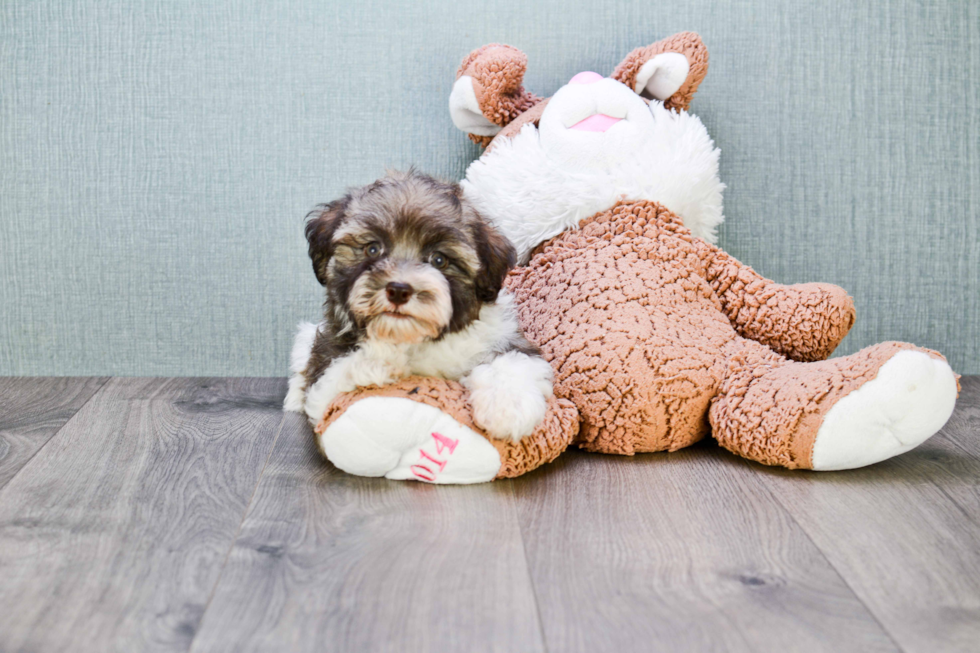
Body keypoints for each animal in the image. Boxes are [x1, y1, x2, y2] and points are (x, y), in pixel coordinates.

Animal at [288, 171, 556, 440]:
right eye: (373, 249)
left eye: (439, 260)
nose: (398, 290)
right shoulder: (324, 375)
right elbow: (335, 376)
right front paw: (380, 360)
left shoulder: (501, 336)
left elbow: (514, 360)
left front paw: (507, 407)